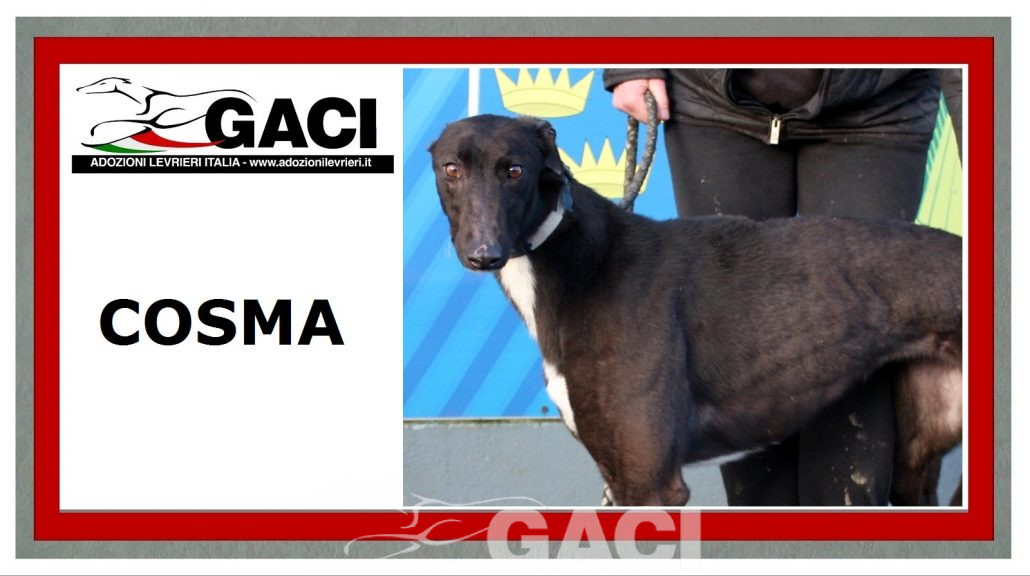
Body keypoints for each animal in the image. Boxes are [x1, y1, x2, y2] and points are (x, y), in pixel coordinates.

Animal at [429, 114, 963, 507]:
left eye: (515, 170)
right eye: (451, 168)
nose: (482, 253)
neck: (584, 265)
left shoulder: (648, 481)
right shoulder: (619, 475)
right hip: (919, 453)